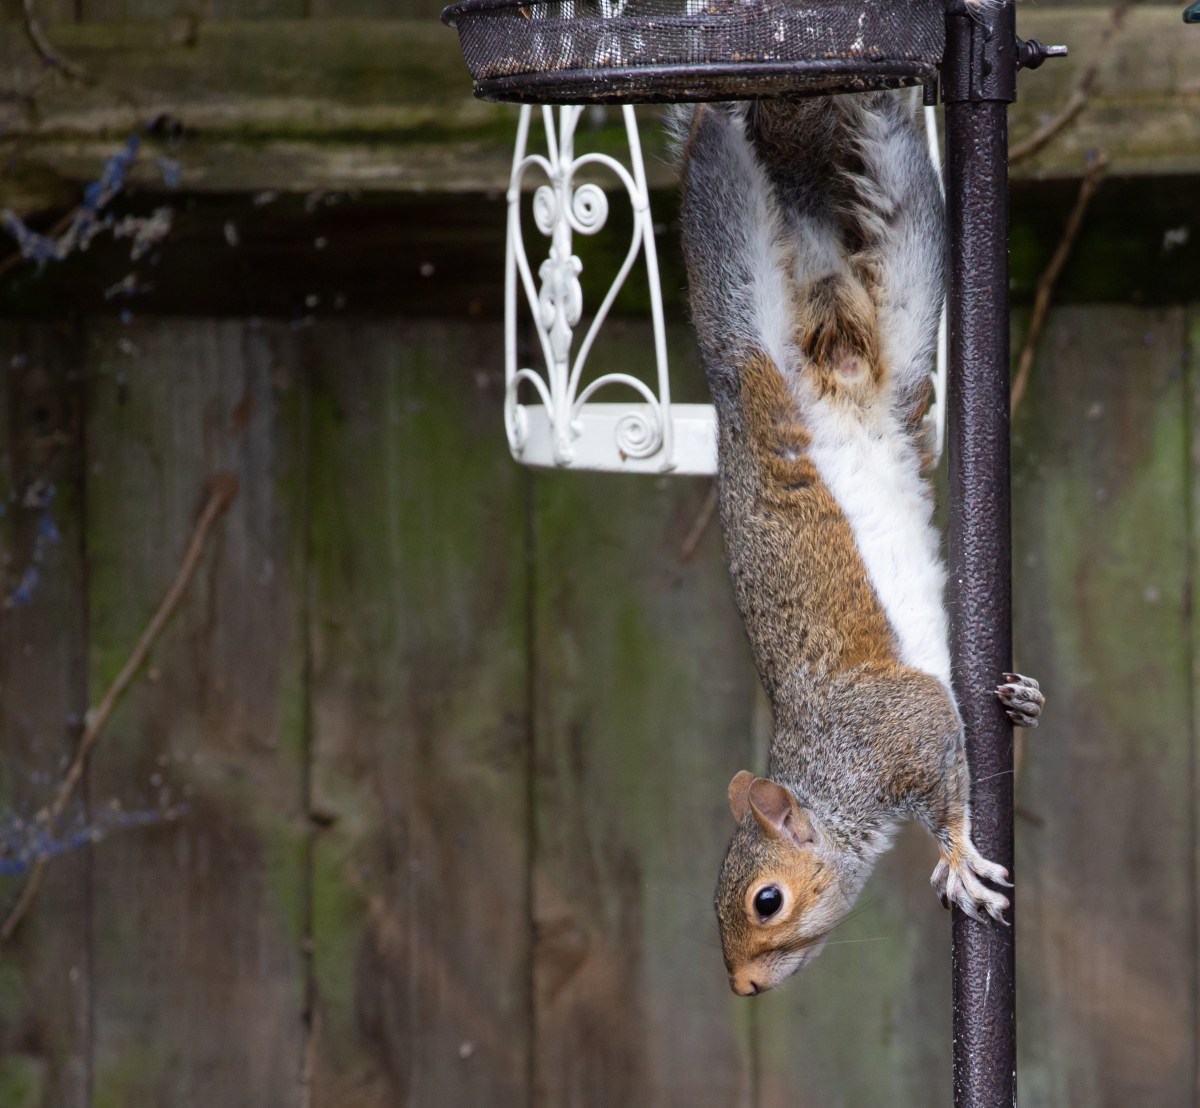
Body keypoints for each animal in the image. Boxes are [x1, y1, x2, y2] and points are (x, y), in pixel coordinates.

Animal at [674, 93, 1044, 997]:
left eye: (766, 901)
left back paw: (719, 108)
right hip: (902, 311)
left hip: (753, 308)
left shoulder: (900, 730)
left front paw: (959, 859)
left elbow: (949, 789)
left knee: (726, 197)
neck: (827, 777)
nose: (741, 987)